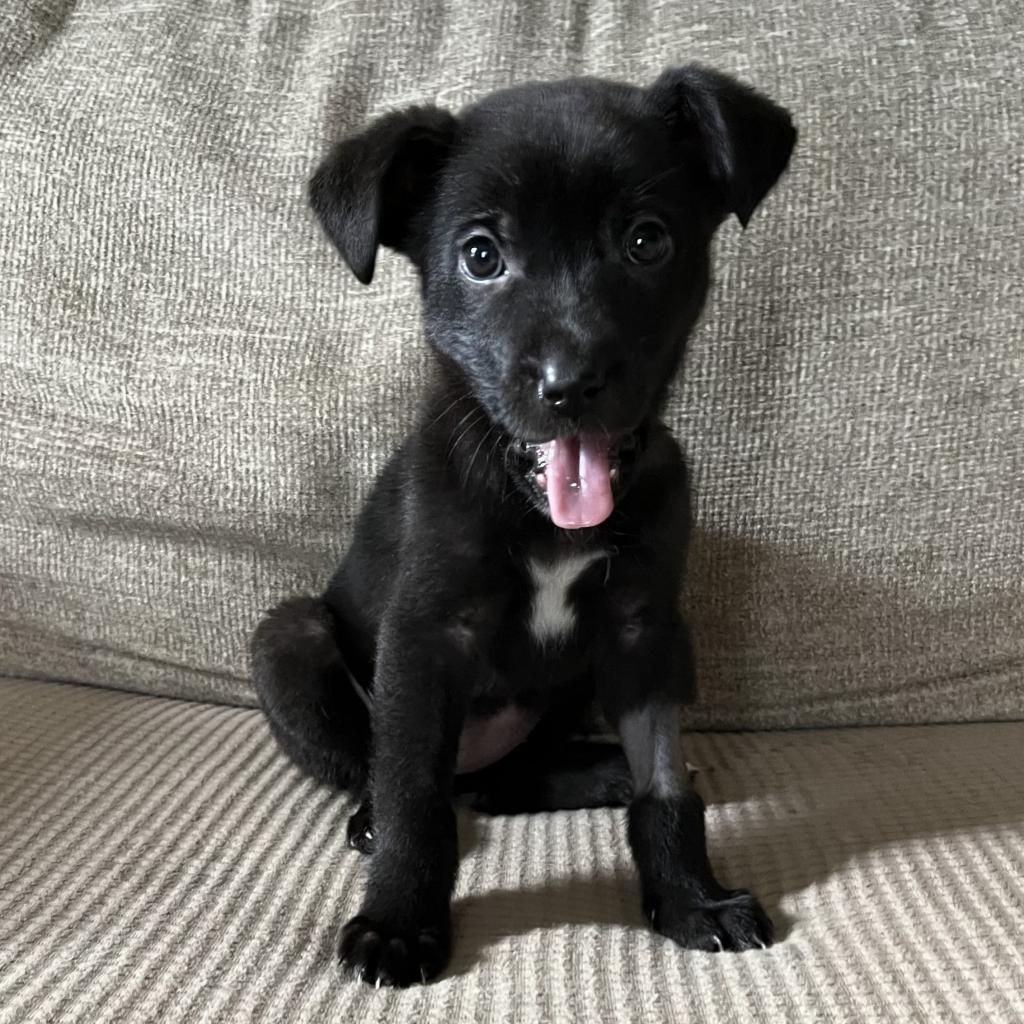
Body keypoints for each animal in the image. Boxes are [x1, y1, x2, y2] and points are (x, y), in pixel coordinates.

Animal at [251, 66, 794, 991]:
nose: (569, 384)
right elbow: (415, 798)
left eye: (647, 241)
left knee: (515, 778)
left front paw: (691, 898)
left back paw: (596, 770)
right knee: (389, 770)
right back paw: (372, 817)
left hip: (569, 686)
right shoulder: (427, 633)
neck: (543, 516)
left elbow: (665, 785)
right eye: (481, 256)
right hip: (289, 640)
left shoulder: (643, 630)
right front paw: (398, 923)